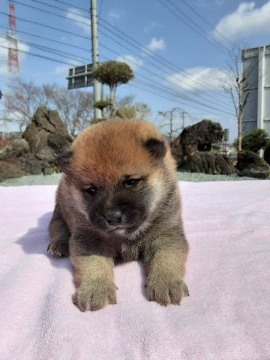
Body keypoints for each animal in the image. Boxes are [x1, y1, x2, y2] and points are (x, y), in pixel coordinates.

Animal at [47, 119, 189, 310]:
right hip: (60, 209)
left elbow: (166, 258)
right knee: (57, 226)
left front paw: (166, 283)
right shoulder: (89, 239)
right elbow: (95, 263)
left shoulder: (166, 233)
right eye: (91, 190)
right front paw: (95, 289)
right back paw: (59, 244)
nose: (113, 217)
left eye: (131, 182)